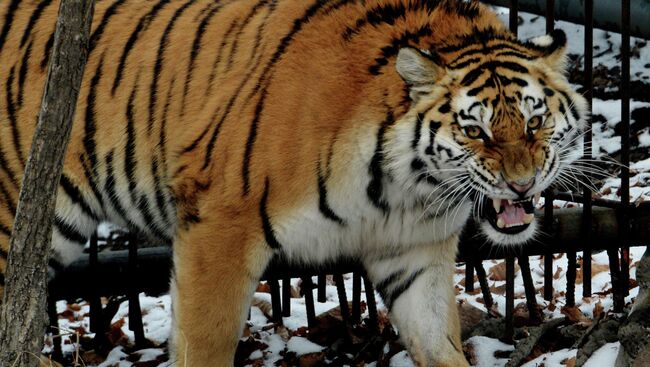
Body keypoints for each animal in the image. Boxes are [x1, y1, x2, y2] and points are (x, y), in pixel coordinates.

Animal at [0, 0, 588, 366]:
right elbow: (205, 343)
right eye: (475, 131)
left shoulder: (413, 251)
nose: (522, 184)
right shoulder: (219, 227)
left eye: (534, 122)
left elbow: (440, 342)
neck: (403, 187)